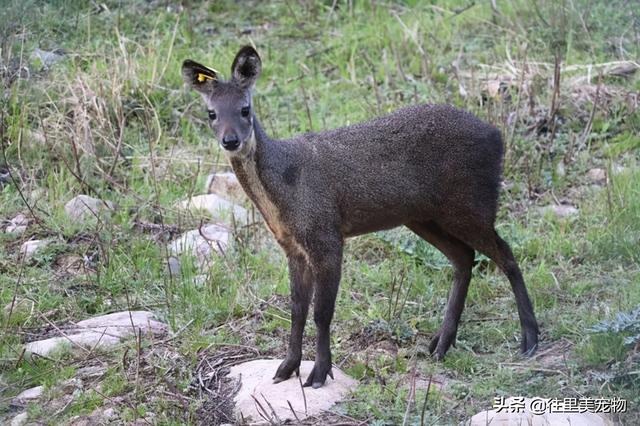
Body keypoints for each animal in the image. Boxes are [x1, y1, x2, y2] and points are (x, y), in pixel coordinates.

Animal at [181, 45, 540, 390]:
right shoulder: (293, 246)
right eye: (211, 113)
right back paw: (440, 344)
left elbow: (322, 313)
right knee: (465, 257)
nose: (230, 140)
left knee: (505, 253)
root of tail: (497, 136)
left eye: (245, 109)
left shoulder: (326, 235)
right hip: (424, 216)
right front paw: (286, 368)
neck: (286, 185)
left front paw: (319, 373)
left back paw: (530, 339)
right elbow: (297, 309)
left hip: (470, 204)